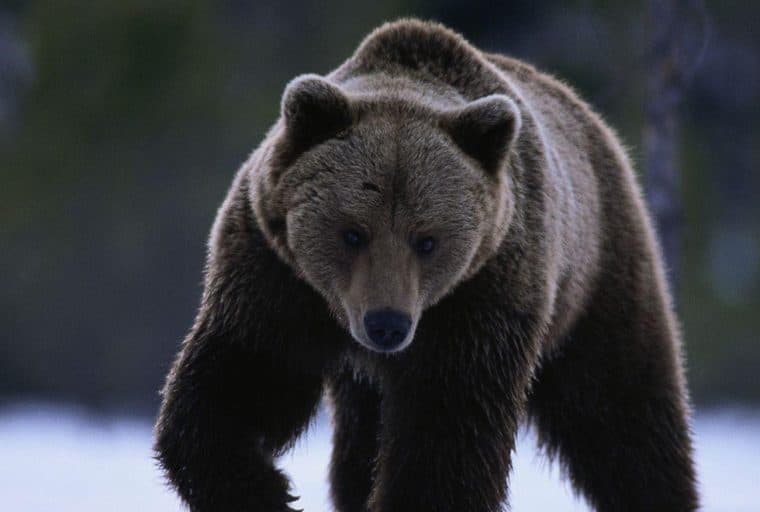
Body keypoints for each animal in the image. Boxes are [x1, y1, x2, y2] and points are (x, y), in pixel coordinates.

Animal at [155, 19, 698, 512]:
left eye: (427, 240)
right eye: (353, 232)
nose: (387, 324)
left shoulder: (481, 297)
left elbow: (447, 433)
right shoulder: (276, 275)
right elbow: (241, 379)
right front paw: (266, 489)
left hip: (597, 280)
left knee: (621, 417)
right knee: (357, 449)